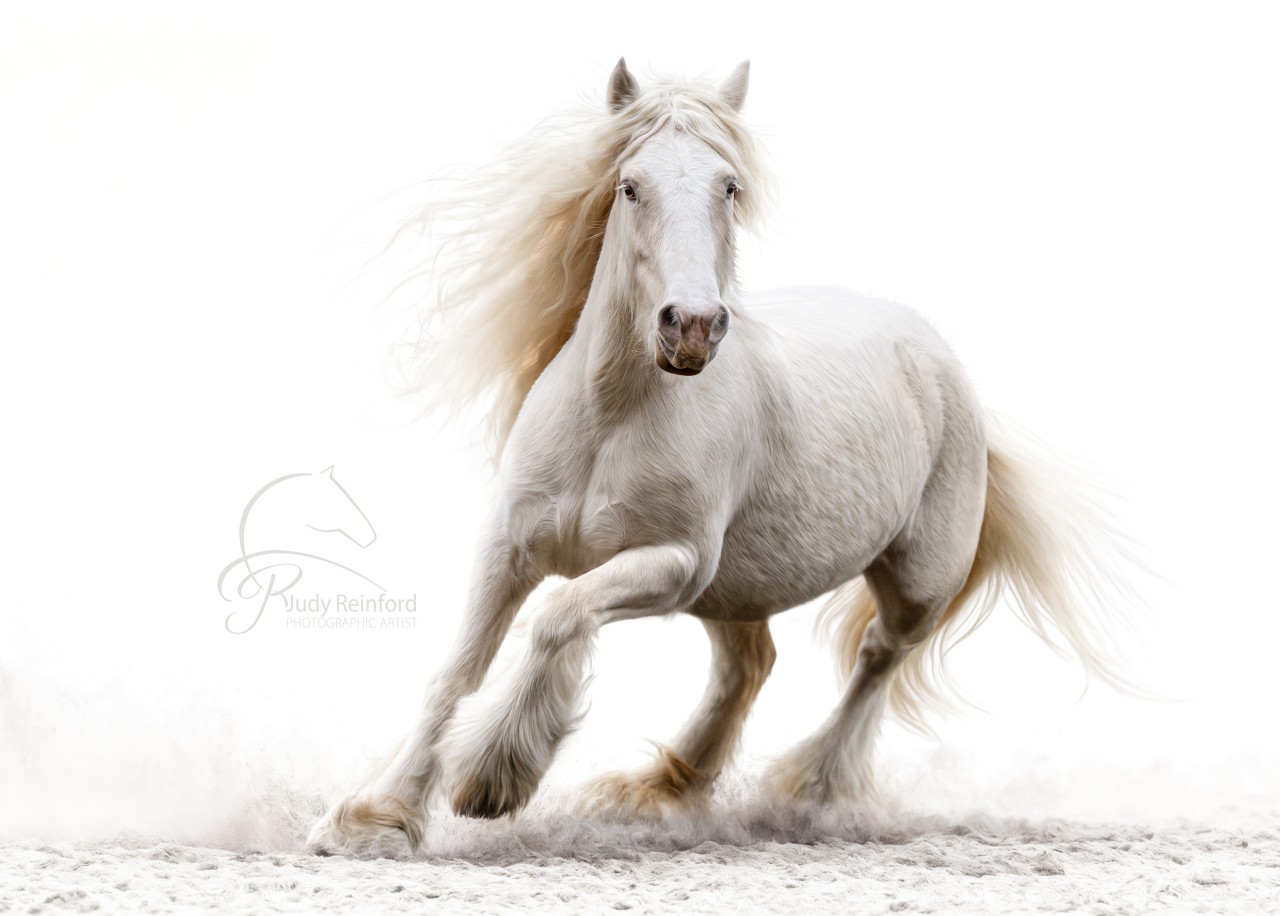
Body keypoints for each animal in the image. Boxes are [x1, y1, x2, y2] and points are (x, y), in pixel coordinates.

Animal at [307, 59, 1134, 858]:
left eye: (728, 185)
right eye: (630, 185)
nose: (694, 327)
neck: (612, 419)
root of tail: (934, 355)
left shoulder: (674, 564)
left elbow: (558, 616)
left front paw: (490, 779)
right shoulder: (510, 547)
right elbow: (457, 671)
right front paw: (373, 818)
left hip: (911, 582)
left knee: (876, 658)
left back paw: (807, 792)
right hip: (738, 587)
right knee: (750, 665)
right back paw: (664, 791)